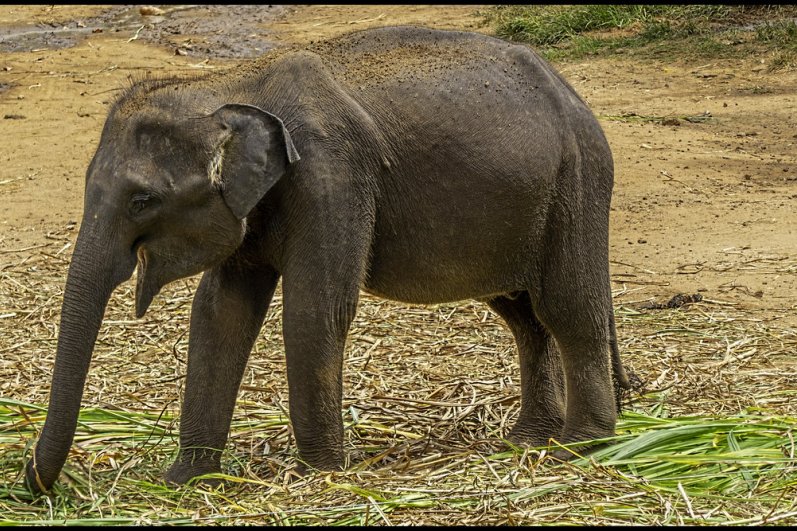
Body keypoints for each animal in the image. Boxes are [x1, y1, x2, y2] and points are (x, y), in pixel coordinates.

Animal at [25, 25, 631, 493]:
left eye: (142, 200)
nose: (37, 482)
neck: (231, 83)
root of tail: (573, 93)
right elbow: (220, 313)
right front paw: (185, 480)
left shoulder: (331, 176)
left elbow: (314, 311)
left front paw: (321, 471)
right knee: (523, 315)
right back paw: (527, 440)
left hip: (576, 184)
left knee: (566, 310)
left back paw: (581, 448)